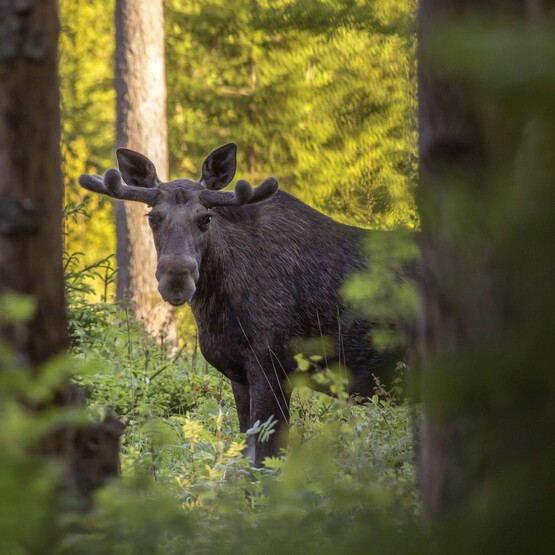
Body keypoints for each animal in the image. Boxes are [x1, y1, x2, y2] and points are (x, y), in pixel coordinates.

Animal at [80, 144, 406, 470]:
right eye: (152, 217)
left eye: (206, 218)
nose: (176, 280)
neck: (217, 309)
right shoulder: (239, 373)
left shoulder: (273, 364)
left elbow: (264, 461)